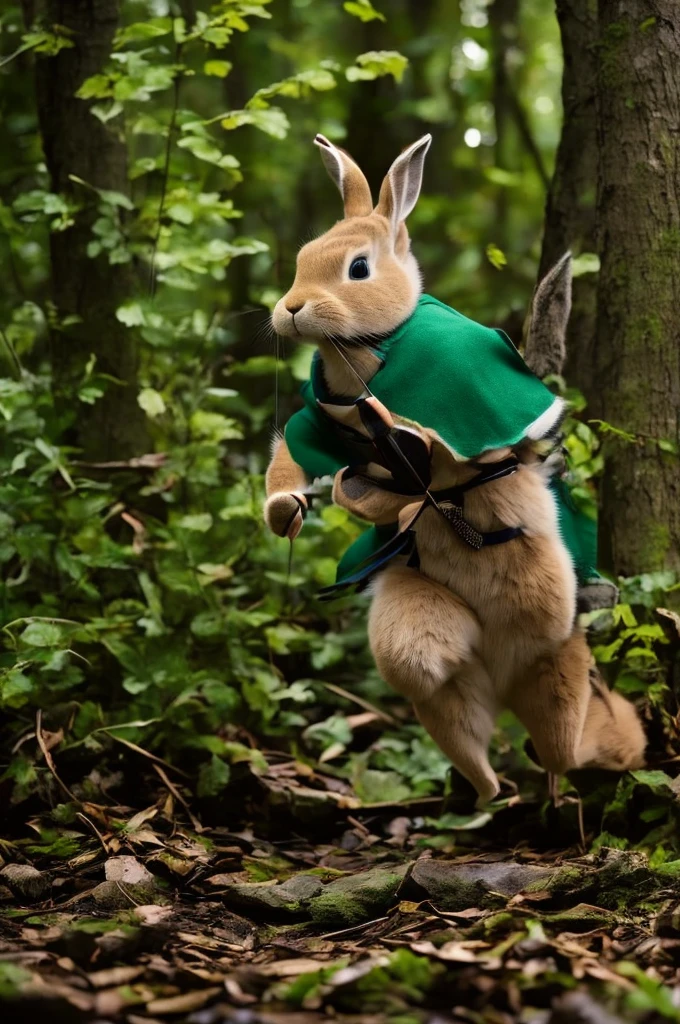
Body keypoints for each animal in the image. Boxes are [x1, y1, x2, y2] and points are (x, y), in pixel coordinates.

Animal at [262, 132, 647, 802]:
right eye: (304, 258)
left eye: (357, 268)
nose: (290, 308)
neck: (370, 353)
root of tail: (502, 674)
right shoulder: (317, 419)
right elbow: (296, 457)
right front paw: (287, 511)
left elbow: (464, 451)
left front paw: (405, 435)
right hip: (431, 636)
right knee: (439, 683)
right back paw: (490, 787)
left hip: (553, 641)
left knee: (565, 731)